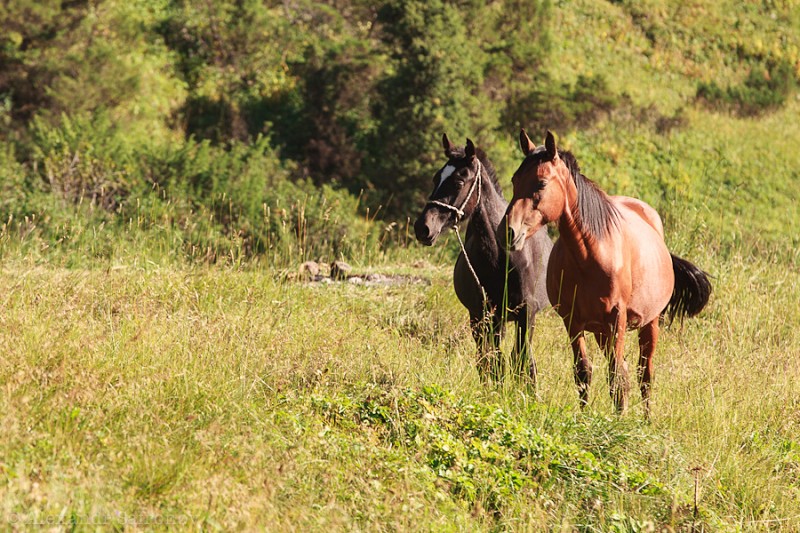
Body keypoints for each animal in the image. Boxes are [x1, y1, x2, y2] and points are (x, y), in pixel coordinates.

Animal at [412, 133, 552, 382]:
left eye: (459, 181)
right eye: (436, 178)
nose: (423, 228)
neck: (500, 258)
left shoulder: (527, 314)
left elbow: (522, 364)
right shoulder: (480, 316)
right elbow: (490, 364)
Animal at [494, 131, 712, 414]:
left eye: (541, 183)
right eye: (514, 180)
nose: (507, 232)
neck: (590, 255)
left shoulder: (616, 319)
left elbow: (616, 377)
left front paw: (617, 420)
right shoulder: (573, 321)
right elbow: (583, 372)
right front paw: (585, 417)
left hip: (648, 324)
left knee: (644, 375)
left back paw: (646, 418)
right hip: (600, 331)